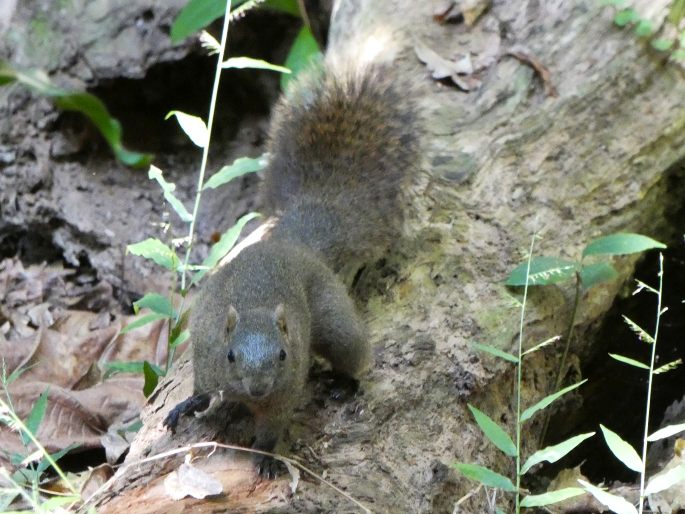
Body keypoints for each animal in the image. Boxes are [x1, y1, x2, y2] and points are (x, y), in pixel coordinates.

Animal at [164, 57, 416, 476]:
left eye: (282, 355)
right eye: (230, 355)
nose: (258, 387)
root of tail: (294, 245)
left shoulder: (285, 391)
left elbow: (272, 427)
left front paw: (266, 457)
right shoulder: (208, 354)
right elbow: (203, 389)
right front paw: (190, 403)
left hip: (334, 320)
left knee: (353, 352)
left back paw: (346, 382)